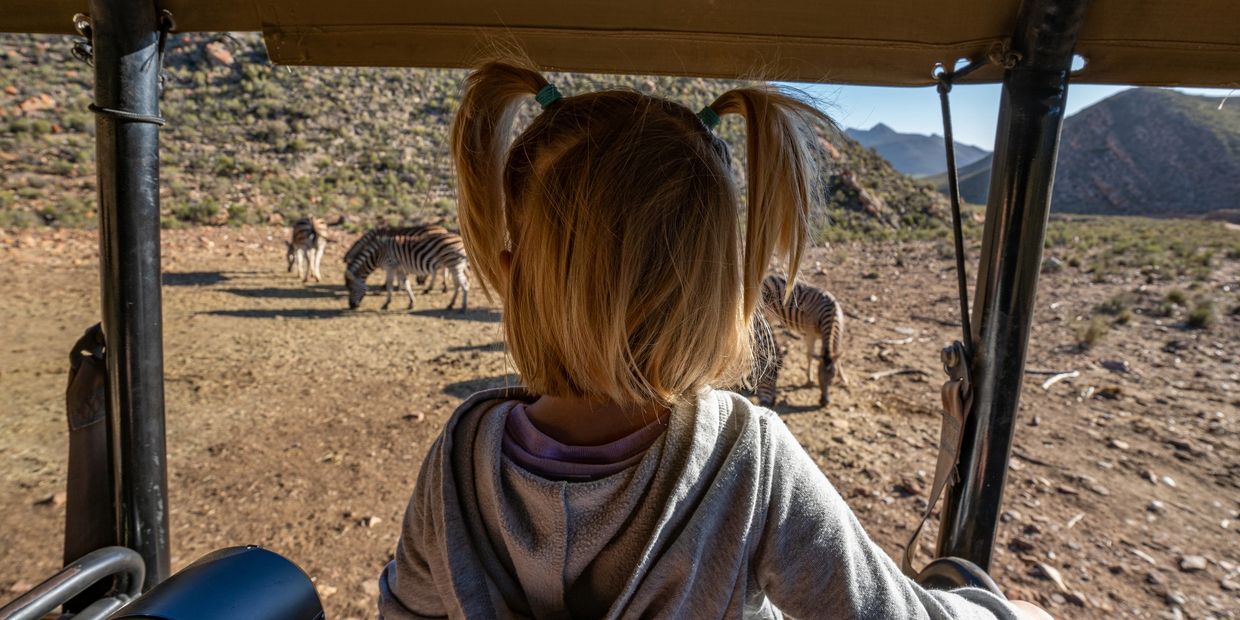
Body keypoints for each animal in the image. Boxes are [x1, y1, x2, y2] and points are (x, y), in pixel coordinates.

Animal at [755, 273, 846, 407]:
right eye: (819, 375)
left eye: (832, 378)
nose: (824, 402)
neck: (832, 316)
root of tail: (768, 276)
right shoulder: (810, 334)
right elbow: (809, 355)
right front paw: (809, 380)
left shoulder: (837, 337)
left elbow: (838, 358)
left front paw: (843, 378)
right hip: (766, 314)